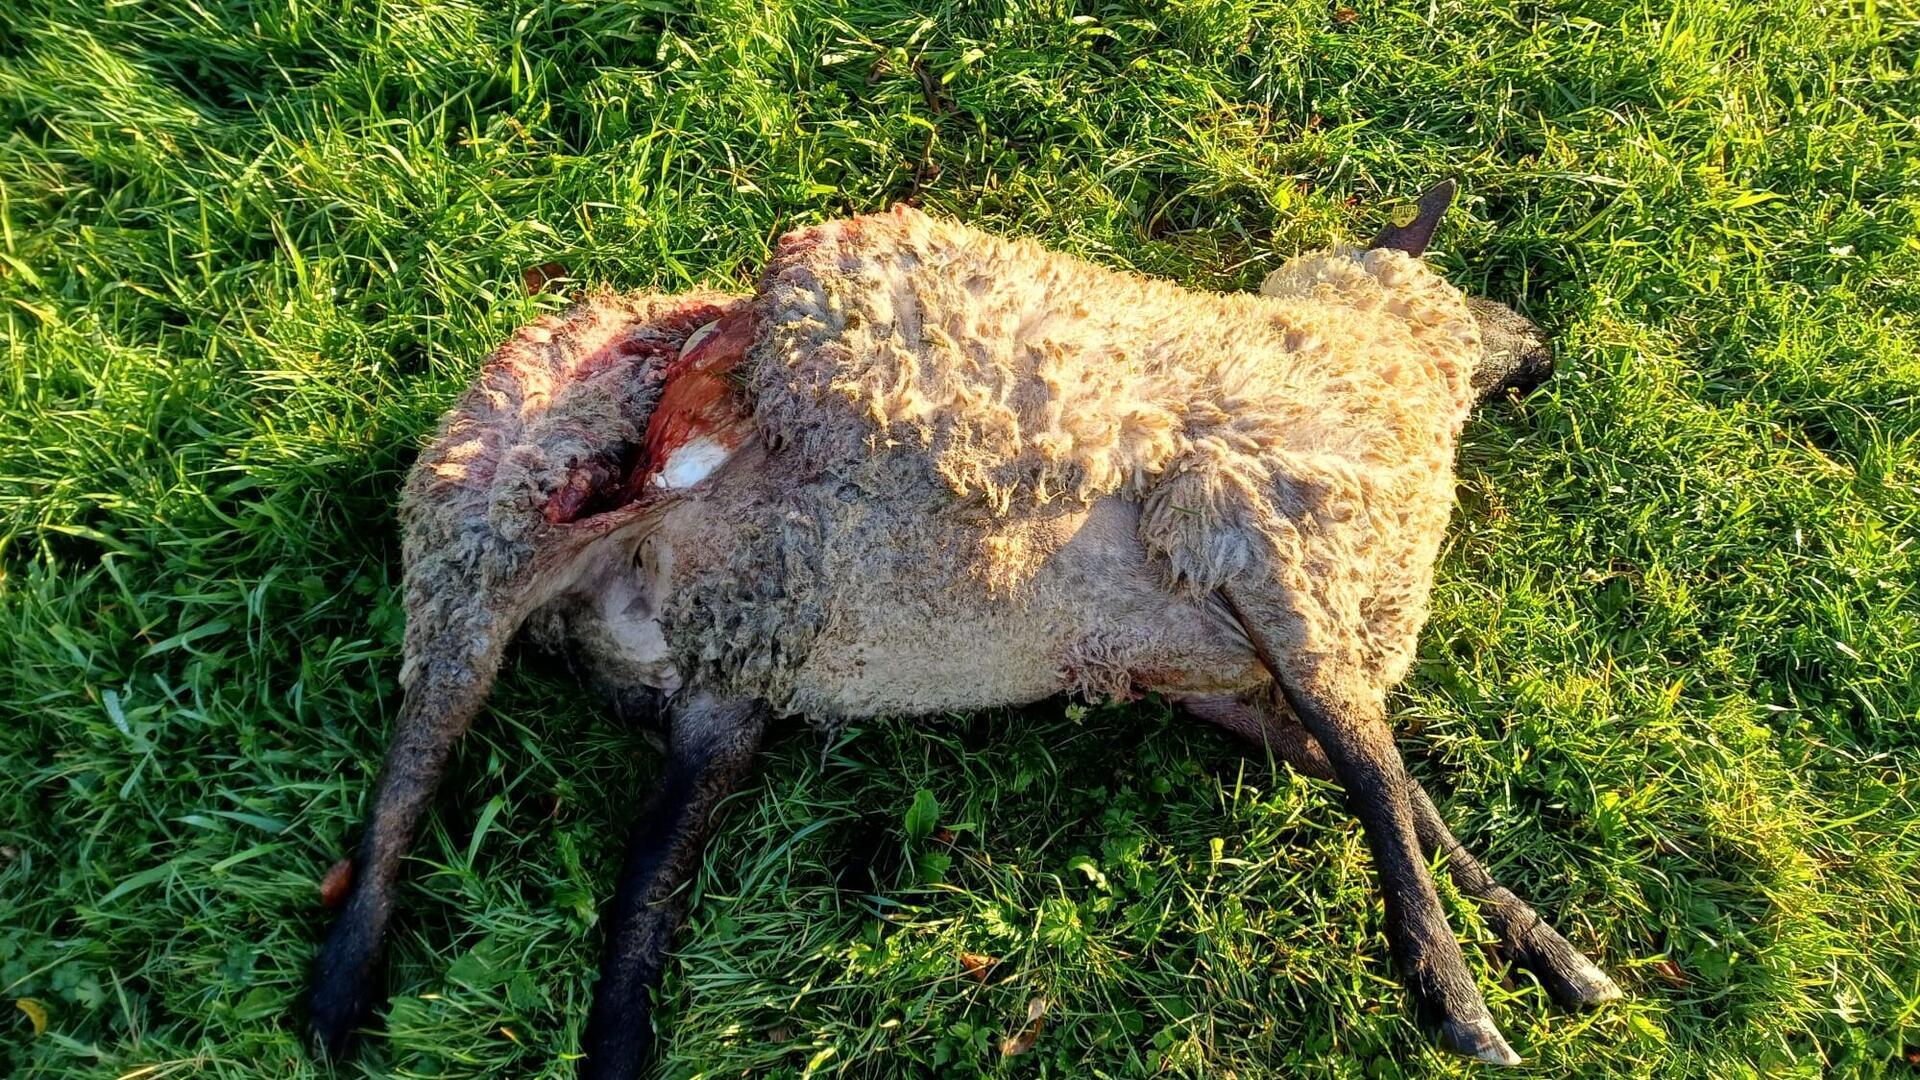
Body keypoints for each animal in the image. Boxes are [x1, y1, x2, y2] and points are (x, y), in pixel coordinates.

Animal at [311, 180, 1605, 1068]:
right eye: (1469, 285)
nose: (1544, 345)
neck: (1367, 370)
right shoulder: (1265, 550)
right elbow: (1381, 781)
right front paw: (1456, 998)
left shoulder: (1222, 672)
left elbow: (1401, 795)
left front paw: (1551, 953)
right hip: (480, 541)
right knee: (408, 778)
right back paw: (337, 995)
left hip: (729, 675)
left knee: (642, 893)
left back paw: (618, 1047)